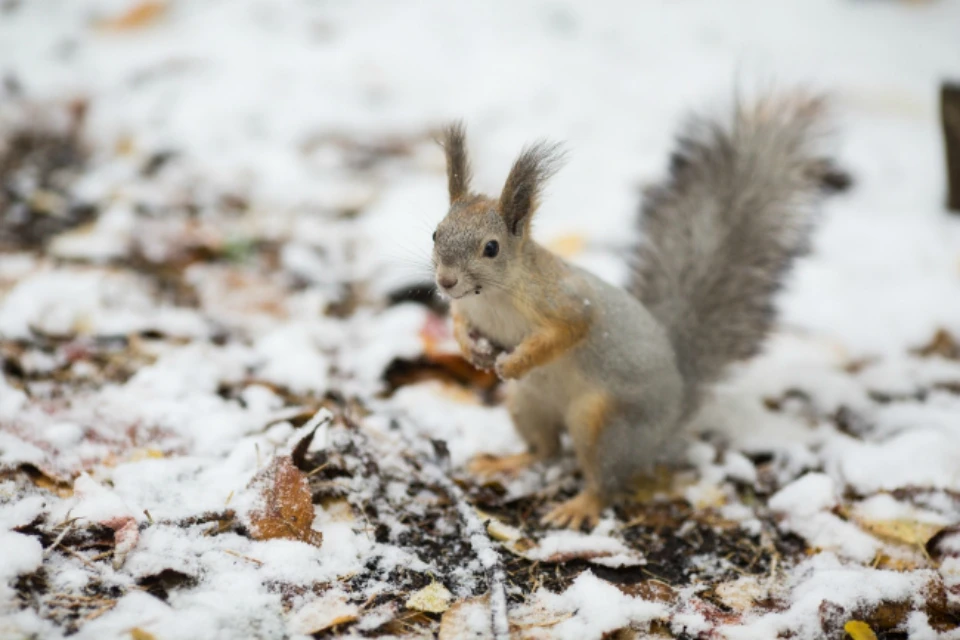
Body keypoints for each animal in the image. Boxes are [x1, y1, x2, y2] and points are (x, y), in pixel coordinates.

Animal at [436, 91, 848, 528]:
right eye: (435, 233)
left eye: (491, 248)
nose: (445, 282)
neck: (489, 297)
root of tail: (675, 406)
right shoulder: (468, 309)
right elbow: (459, 322)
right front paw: (471, 350)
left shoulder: (561, 300)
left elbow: (571, 329)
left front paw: (514, 363)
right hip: (526, 405)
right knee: (545, 451)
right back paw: (505, 463)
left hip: (603, 424)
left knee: (604, 479)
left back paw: (580, 505)